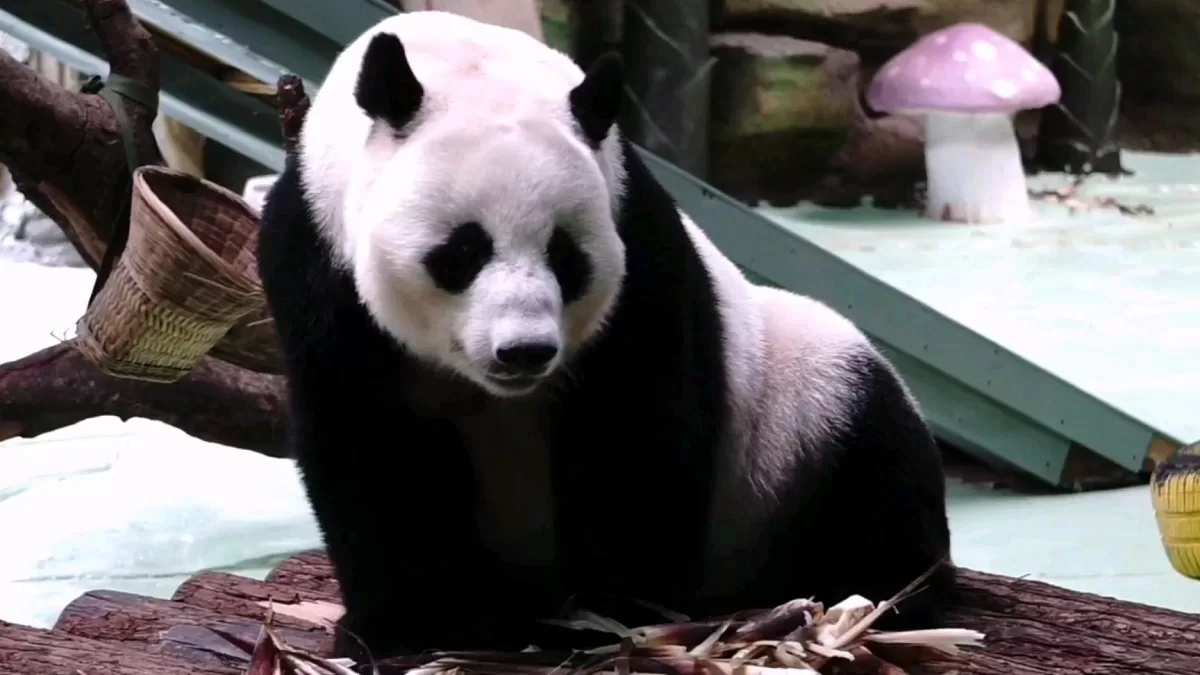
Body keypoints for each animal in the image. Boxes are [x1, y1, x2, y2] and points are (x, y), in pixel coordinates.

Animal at [257, 10, 954, 663]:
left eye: (565, 256)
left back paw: (880, 588)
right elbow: (370, 447)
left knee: (874, 468)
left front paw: (611, 618)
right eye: (464, 251)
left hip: (801, 414)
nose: (525, 351)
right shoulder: (315, 262)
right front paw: (407, 626)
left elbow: (635, 438)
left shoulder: (638, 249)